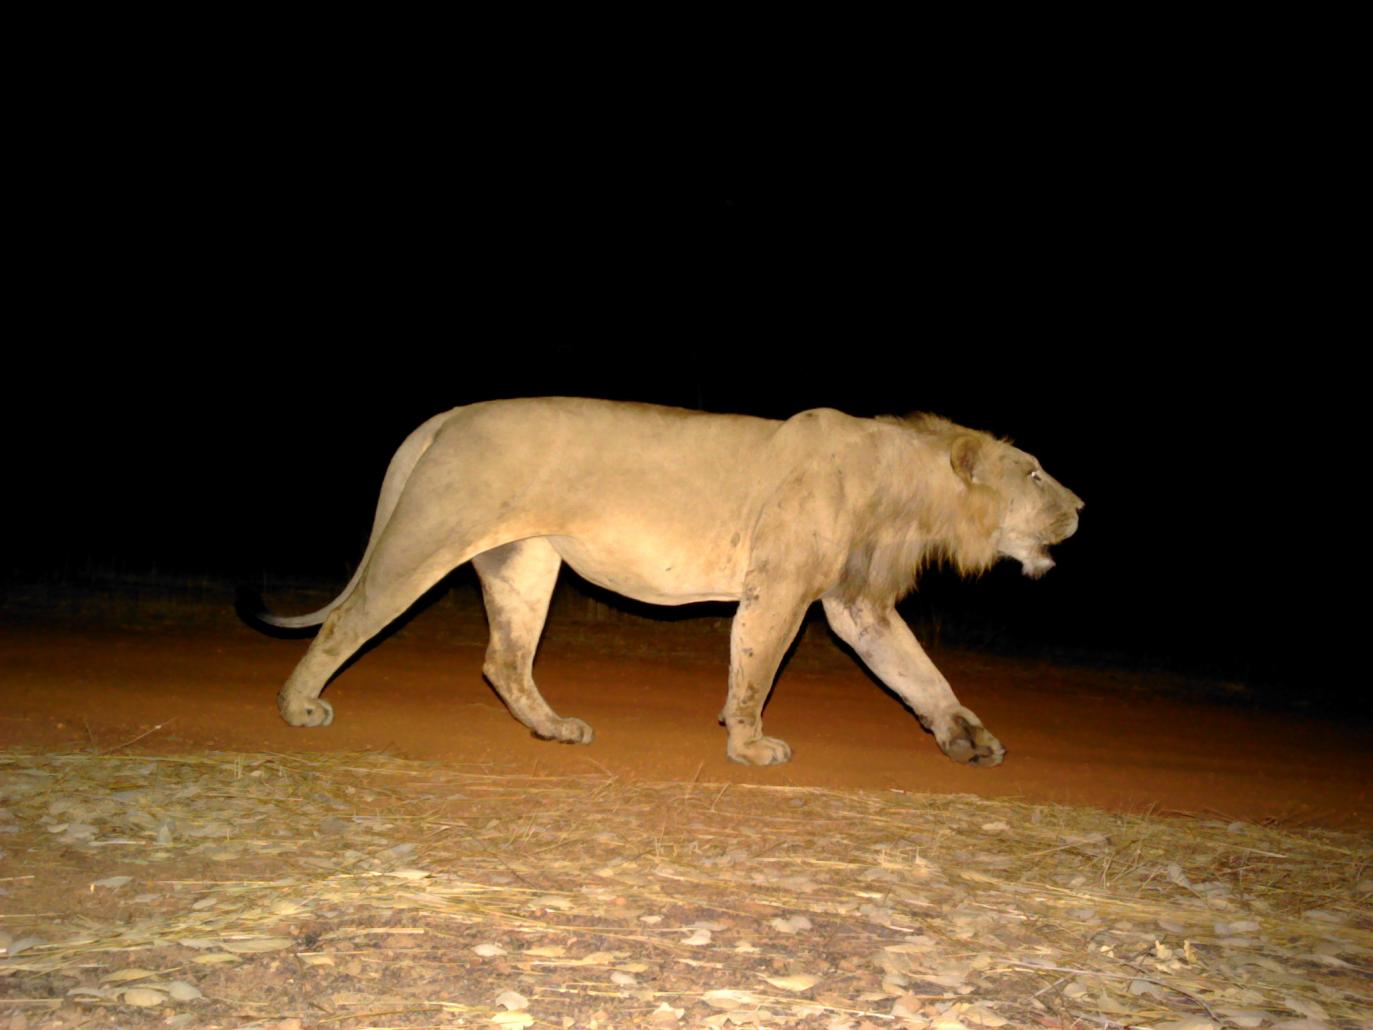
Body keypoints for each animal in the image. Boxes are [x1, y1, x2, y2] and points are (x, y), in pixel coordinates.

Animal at [261, 397, 1081, 767]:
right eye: (1035, 474)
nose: (1082, 507)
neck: (904, 495)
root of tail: (448, 415)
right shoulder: (782, 586)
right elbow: (757, 666)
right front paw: (750, 746)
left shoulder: (857, 606)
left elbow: (919, 672)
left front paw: (966, 736)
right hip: (430, 536)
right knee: (349, 620)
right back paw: (299, 708)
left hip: (525, 562)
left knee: (505, 660)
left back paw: (554, 728)